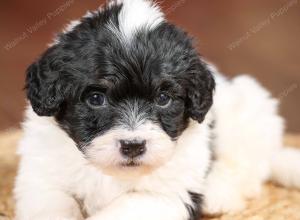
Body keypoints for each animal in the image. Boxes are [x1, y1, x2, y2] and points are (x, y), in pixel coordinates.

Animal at [14, 0, 300, 220]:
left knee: (248, 166)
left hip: (250, 111)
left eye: (163, 98)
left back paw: (220, 193)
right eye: (96, 98)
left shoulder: (167, 195)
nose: (133, 146)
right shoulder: (41, 178)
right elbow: (50, 204)